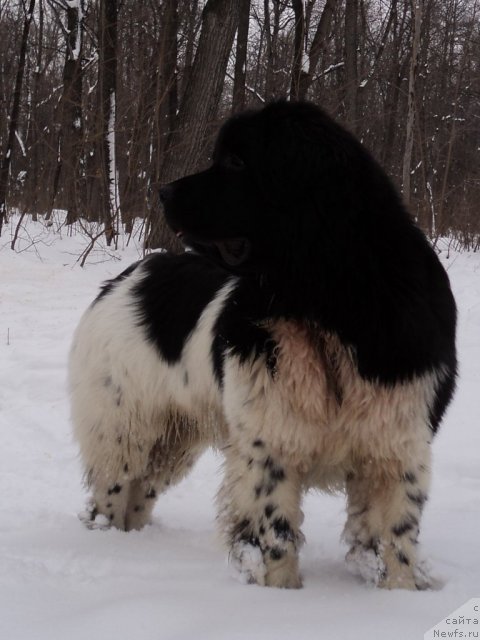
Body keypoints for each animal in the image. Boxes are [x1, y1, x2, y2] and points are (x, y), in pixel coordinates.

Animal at [69, 101, 456, 592]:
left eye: (237, 162)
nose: (163, 191)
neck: (324, 304)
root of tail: (125, 275)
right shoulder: (269, 443)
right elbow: (274, 530)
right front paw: (279, 593)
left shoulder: (398, 444)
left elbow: (395, 538)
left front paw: (398, 594)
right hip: (123, 424)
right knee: (111, 489)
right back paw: (108, 545)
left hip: (173, 439)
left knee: (141, 491)